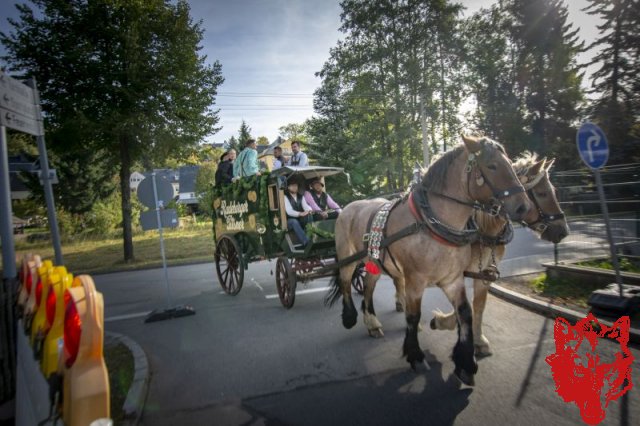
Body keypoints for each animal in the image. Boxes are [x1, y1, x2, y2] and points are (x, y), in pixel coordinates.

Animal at [324, 134, 528, 386]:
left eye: (511, 164)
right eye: (492, 166)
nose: (523, 206)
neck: (431, 223)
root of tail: (348, 207)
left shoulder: (452, 280)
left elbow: (466, 313)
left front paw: (465, 363)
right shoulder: (415, 281)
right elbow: (413, 316)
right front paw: (416, 356)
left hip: (374, 264)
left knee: (369, 289)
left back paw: (372, 323)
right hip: (347, 257)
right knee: (344, 282)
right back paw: (350, 317)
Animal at [430, 153, 568, 356]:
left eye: (553, 191)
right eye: (542, 193)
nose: (563, 231)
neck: (484, 229)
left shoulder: (484, 272)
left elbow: (478, 304)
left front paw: (479, 341)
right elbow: (462, 306)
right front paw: (443, 322)